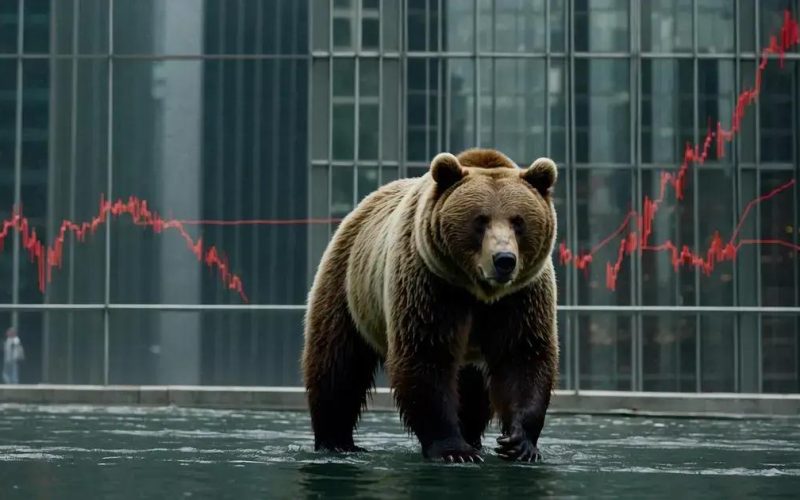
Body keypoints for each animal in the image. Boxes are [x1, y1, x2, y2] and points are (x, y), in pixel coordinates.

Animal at [302, 148, 559, 463]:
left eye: (518, 221)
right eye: (480, 220)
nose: (504, 260)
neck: (479, 292)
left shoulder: (521, 297)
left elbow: (523, 357)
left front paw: (518, 443)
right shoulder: (430, 285)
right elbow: (426, 357)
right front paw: (454, 450)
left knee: (473, 389)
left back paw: (473, 436)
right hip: (348, 287)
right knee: (337, 365)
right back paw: (335, 440)